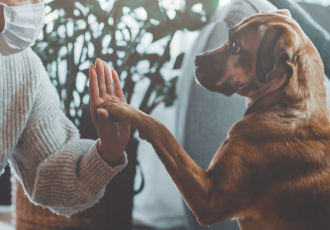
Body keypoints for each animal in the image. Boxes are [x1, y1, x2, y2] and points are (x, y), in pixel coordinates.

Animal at [100, 9, 330, 230]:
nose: (197, 59)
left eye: (235, 46)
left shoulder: (210, 198)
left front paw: (122, 107)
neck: (287, 105)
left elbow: (160, 129)